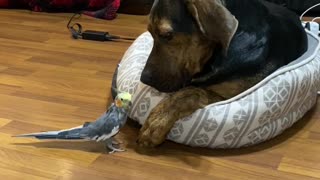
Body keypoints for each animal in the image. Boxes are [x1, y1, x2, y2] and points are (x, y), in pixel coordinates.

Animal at [137, 0, 308, 147]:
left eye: (167, 35)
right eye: (150, 33)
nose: (144, 79)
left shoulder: (230, 94)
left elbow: (191, 92)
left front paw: (158, 120)